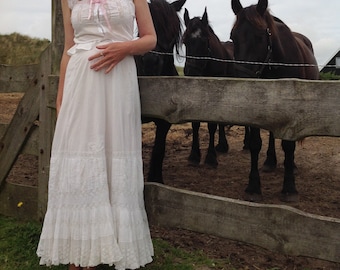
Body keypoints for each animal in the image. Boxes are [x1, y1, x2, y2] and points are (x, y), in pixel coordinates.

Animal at [183, 8, 244, 168]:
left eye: (204, 41)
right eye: (184, 41)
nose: (191, 73)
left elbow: (211, 125)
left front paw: (210, 157)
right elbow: (195, 124)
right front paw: (194, 154)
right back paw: (222, 145)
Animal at [230, 0, 320, 201]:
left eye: (259, 36)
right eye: (233, 37)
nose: (241, 85)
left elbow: (288, 145)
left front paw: (289, 187)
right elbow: (255, 144)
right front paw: (253, 186)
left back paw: (291, 166)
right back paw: (270, 161)